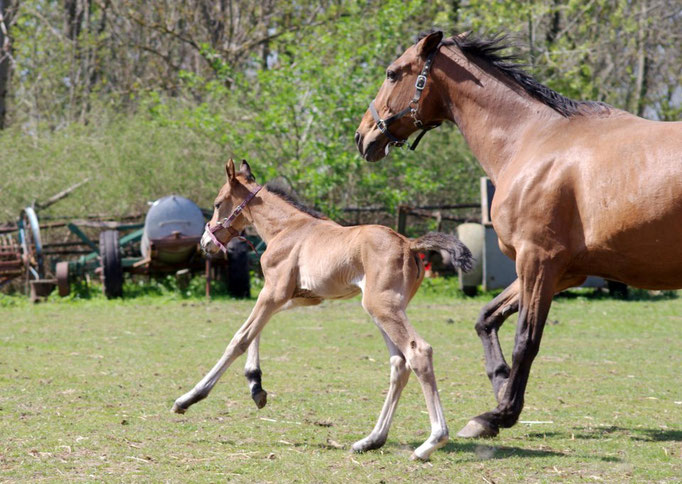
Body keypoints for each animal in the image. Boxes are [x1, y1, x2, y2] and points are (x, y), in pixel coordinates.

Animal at [171, 160, 472, 462]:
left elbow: (240, 339)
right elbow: (256, 330)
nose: (204, 243)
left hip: (382, 307)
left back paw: (431, 442)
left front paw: (188, 399)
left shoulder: (275, 291)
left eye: (217, 203)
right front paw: (256, 385)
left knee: (418, 352)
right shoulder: (296, 296)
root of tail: (409, 243)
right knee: (399, 363)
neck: (286, 229)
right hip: (384, 310)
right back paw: (371, 440)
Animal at [354, 30, 680, 438]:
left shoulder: (538, 260)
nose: (362, 136)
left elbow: (526, 340)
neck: (531, 140)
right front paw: (501, 385)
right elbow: (487, 317)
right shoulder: (563, 271)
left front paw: (497, 414)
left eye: (392, 73)